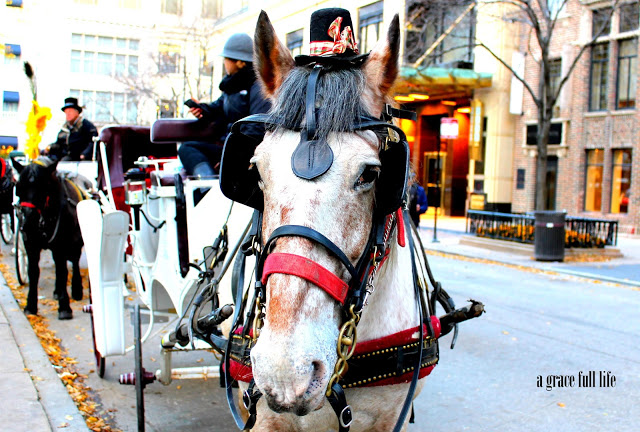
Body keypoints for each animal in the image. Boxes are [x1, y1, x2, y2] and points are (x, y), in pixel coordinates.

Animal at [13, 157, 85, 320]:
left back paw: (76, 289)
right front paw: (31, 305)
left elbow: (62, 271)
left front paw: (64, 308)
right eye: (19, 187)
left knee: (74, 261)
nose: (28, 221)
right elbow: (33, 271)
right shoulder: (30, 244)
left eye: (42, 187)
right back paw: (58, 291)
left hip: (75, 241)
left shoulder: (62, 244)